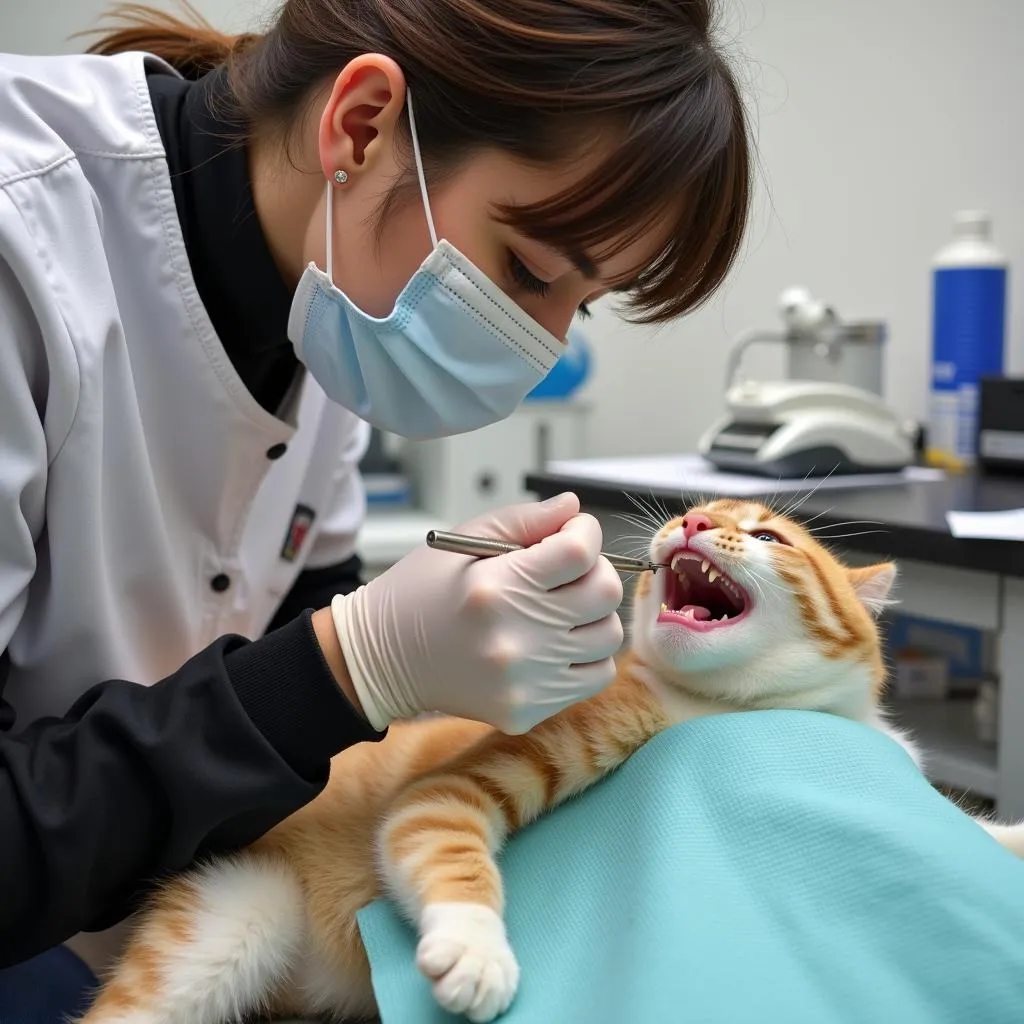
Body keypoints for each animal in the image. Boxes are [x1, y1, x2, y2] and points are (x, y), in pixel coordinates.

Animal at [74, 501, 1024, 1024]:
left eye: (769, 535)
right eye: (701, 512)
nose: (691, 523)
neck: (734, 705)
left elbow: (980, 830)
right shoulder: (457, 784)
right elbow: (445, 842)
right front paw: (475, 949)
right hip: (228, 921)